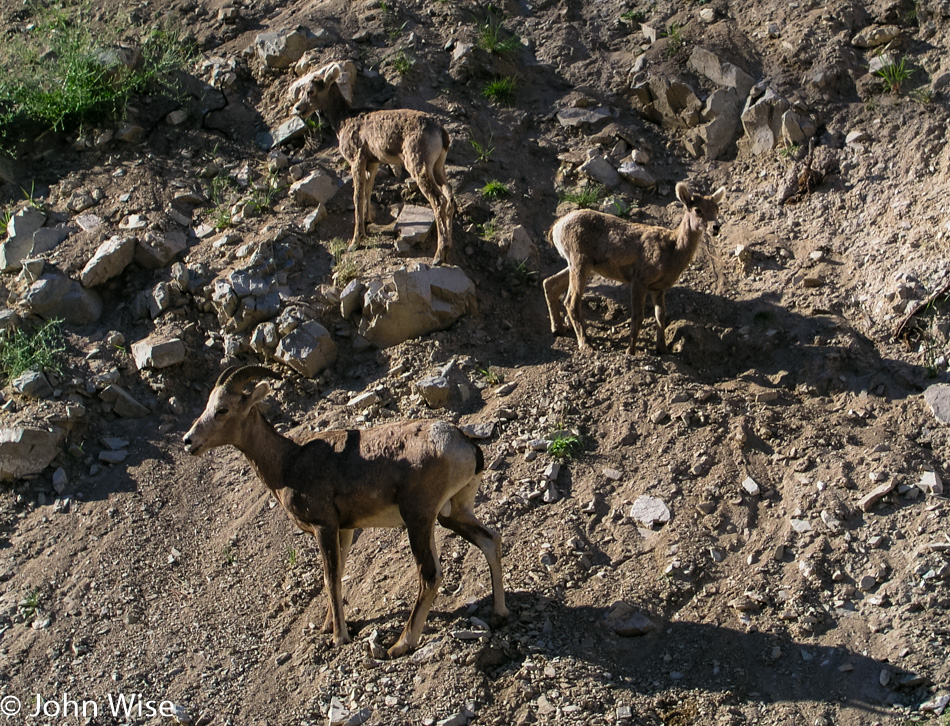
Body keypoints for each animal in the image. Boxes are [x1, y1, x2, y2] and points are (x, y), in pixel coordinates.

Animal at [183, 366, 510, 656]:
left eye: (222, 409)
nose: (189, 442)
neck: (288, 462)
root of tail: (465, 445)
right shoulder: (345, 530)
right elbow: (338, 574)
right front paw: (328, 627)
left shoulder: (324, 526)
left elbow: (329, 577)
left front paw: (339, 637)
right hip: (452, 514)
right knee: (490, 540)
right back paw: (499, 614)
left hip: (419, 518)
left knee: (430, 575)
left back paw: (400, 645)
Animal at [290, 61, 458, 268]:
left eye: (311, 91)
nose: (298, 108)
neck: (343, 121)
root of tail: (441, 132)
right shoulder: (373, 163)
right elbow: (367, 191)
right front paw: (368, 221)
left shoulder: (357, 160)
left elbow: (357, 196)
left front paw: (355, 242)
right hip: (438, 166)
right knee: (449, 196)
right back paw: (448, 249)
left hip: (418, 165)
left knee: (438, 200)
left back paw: (438, 256)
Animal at [544, 181, 728, 354]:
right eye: (698, 210)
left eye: (717, 209)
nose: (716, 227)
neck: (672, 250)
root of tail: (557, 227)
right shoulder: (639, 281)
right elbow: (638, 316)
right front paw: (630, 351)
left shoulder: (658, 289)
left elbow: (660, 315)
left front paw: (663, 349)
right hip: (580, 262)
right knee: (571, 301)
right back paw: (586, 344)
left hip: (581, 265)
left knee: (549, 283)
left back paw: (558, 329)